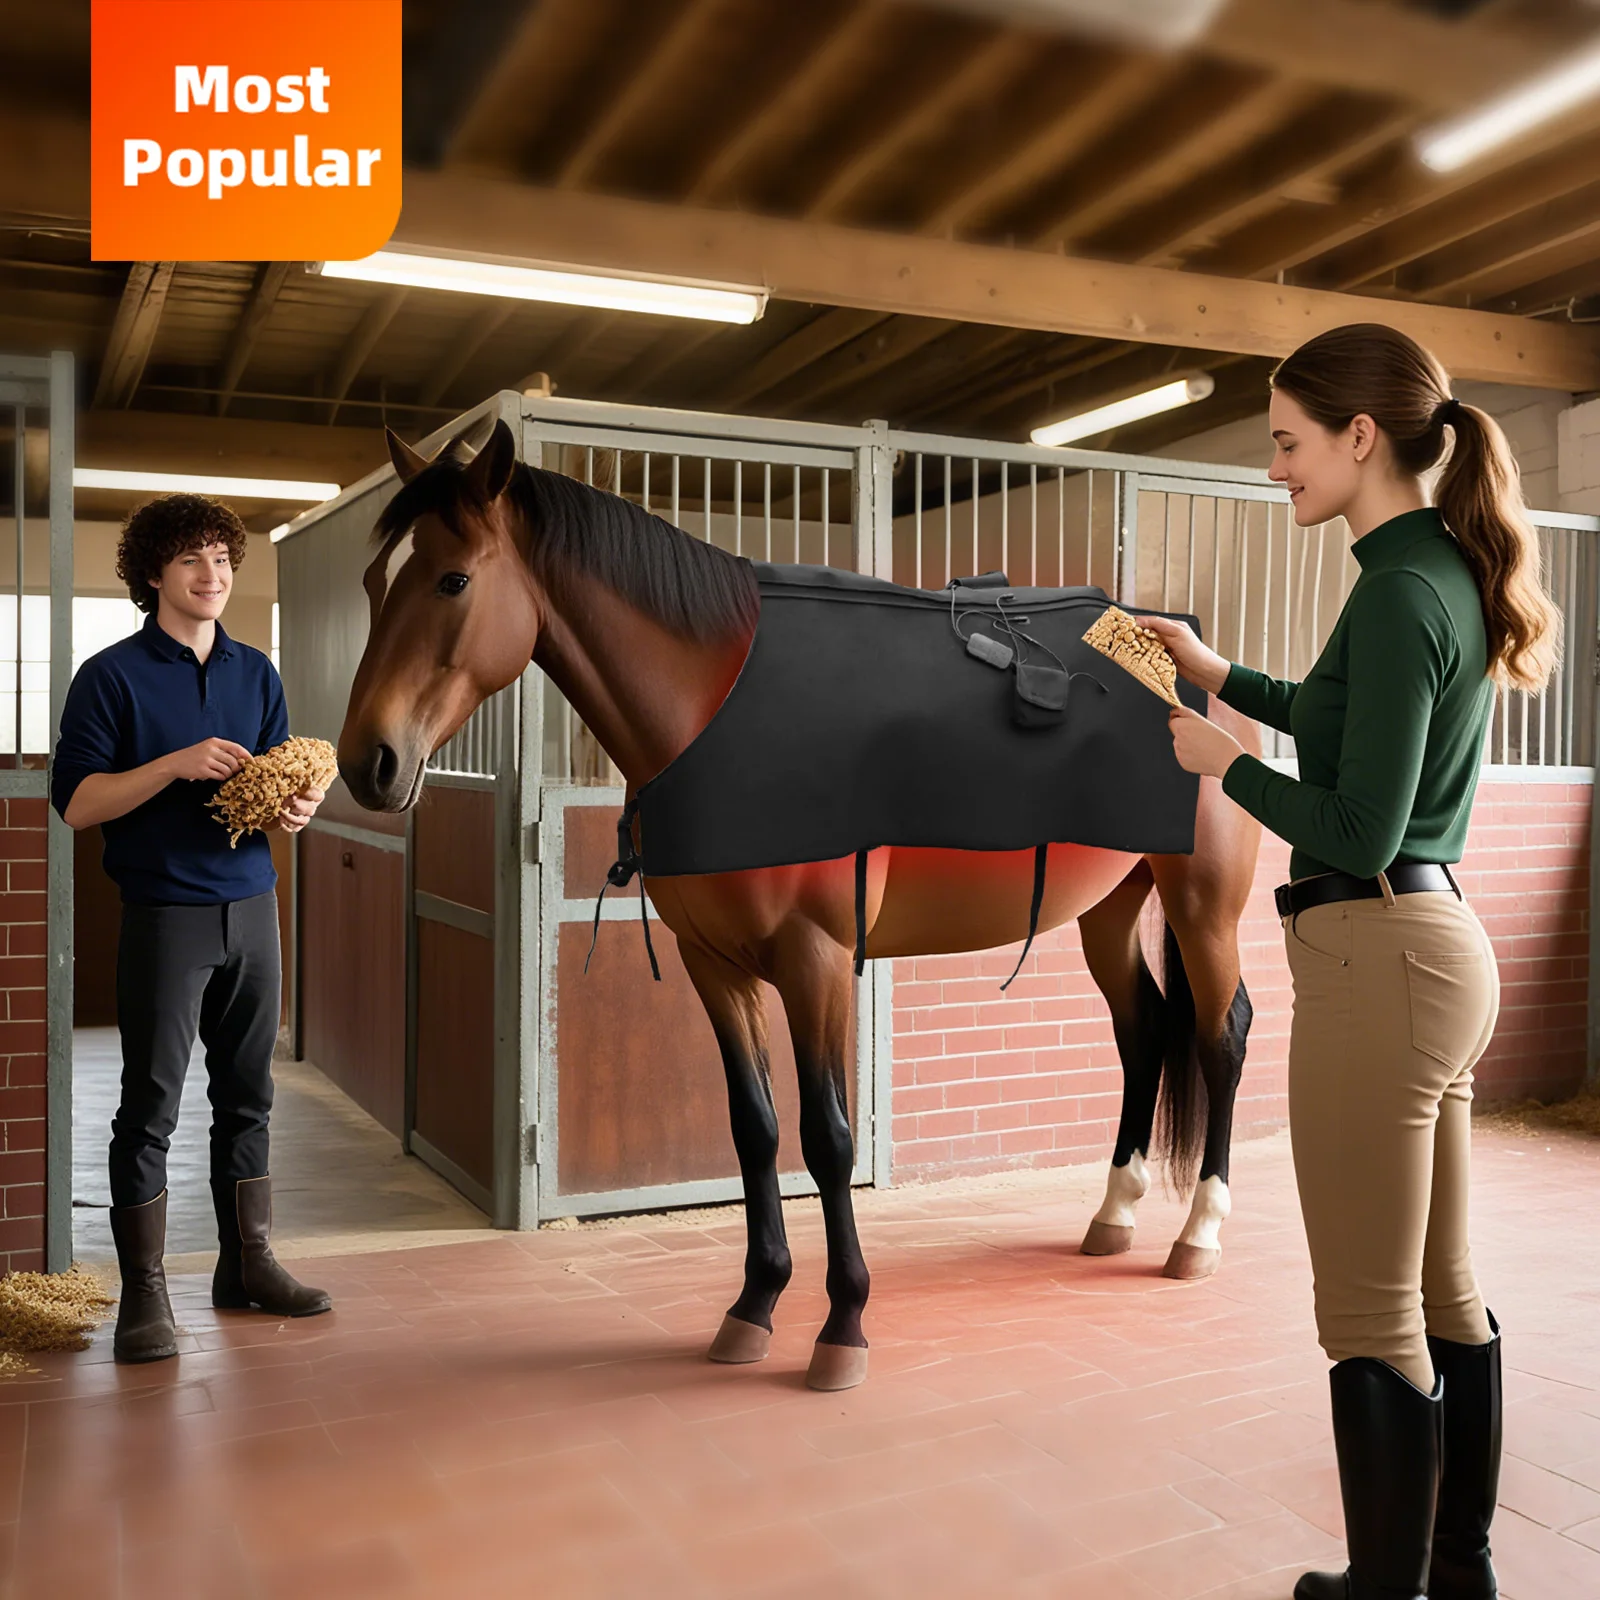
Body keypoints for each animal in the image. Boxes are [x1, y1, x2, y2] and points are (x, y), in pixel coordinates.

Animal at [337, 419, 1263, 1391]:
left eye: (453, 579)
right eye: (373, 581)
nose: (369, 762)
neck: (719, 716)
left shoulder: (815, 962)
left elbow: (826, 1139)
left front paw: (842, 1326)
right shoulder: (715, 966)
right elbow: (755, 1130)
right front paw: (753, 1305)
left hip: (1202, 905)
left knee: (1221, 1033)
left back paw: (1198, 1233)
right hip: (1111, 908)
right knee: (1145, 1029)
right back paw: (1113, 1215)